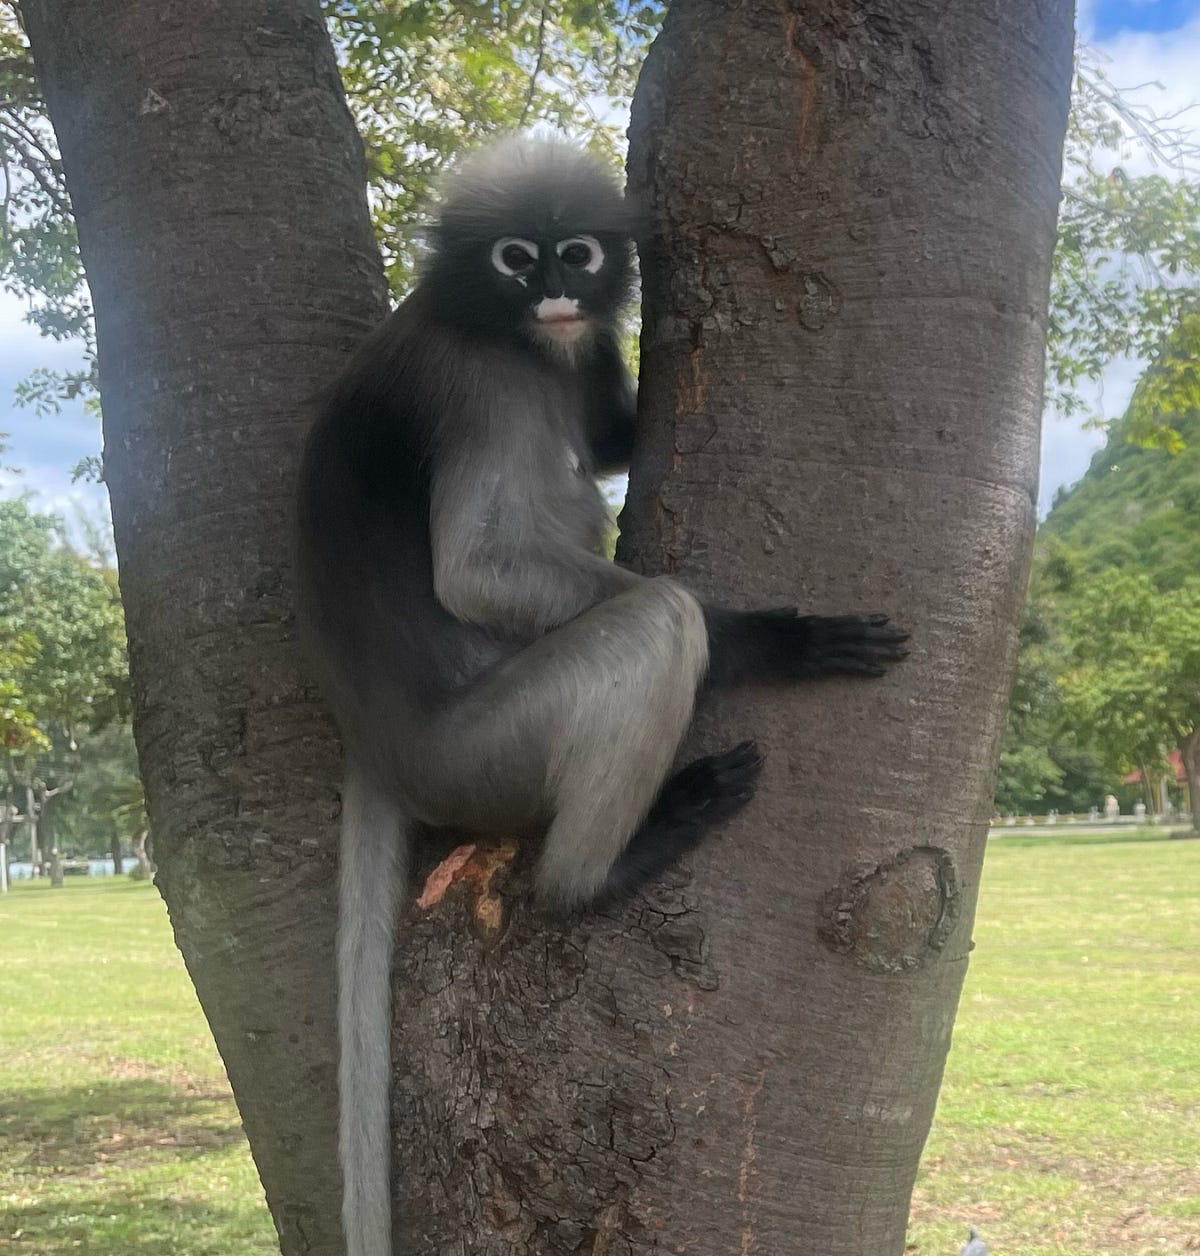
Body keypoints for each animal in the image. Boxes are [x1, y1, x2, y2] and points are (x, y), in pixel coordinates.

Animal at [294, 138, 908, 1256]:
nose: (555, 294)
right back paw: (607, 865)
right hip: (487, 751)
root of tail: (378, 740)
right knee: (658, 619)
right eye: (515, 256)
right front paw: (768, 639)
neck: (505, 331)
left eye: (575, 252)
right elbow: (480, 572)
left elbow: (610, 437)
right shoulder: (487, 387)